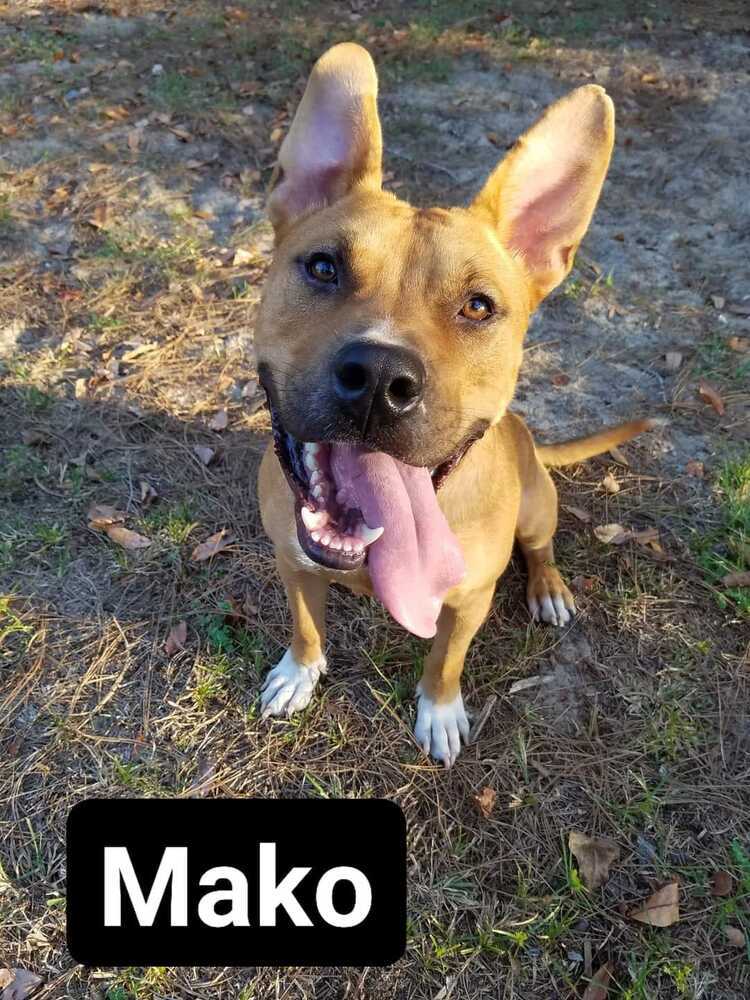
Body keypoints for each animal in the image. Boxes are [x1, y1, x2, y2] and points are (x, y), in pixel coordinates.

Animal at [256, 43, 656, 764]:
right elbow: (306, 627)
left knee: (543, 548)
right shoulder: (293, 562)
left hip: (538, 508)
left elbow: (444, 661)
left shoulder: (469, 600)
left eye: (478, 306)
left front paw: (439, 712)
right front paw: (298, 673)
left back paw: (549, 589)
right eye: (324, 267)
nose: (380, 377)